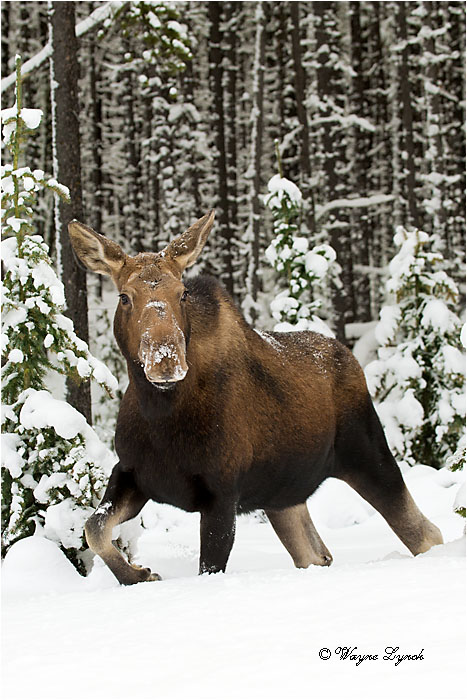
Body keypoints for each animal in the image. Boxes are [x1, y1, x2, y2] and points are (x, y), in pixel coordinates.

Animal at [68, 211, 443, 585]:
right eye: (124, 297)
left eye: (182, 294)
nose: (166, 361)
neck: (160, 414)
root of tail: (348, 356)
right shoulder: (132, 473)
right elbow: (93, 528)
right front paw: (138, 574)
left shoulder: (221, 494)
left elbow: (207, 568)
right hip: (283, 494)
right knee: (316, 554)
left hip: (368, 454)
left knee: (427, 533)